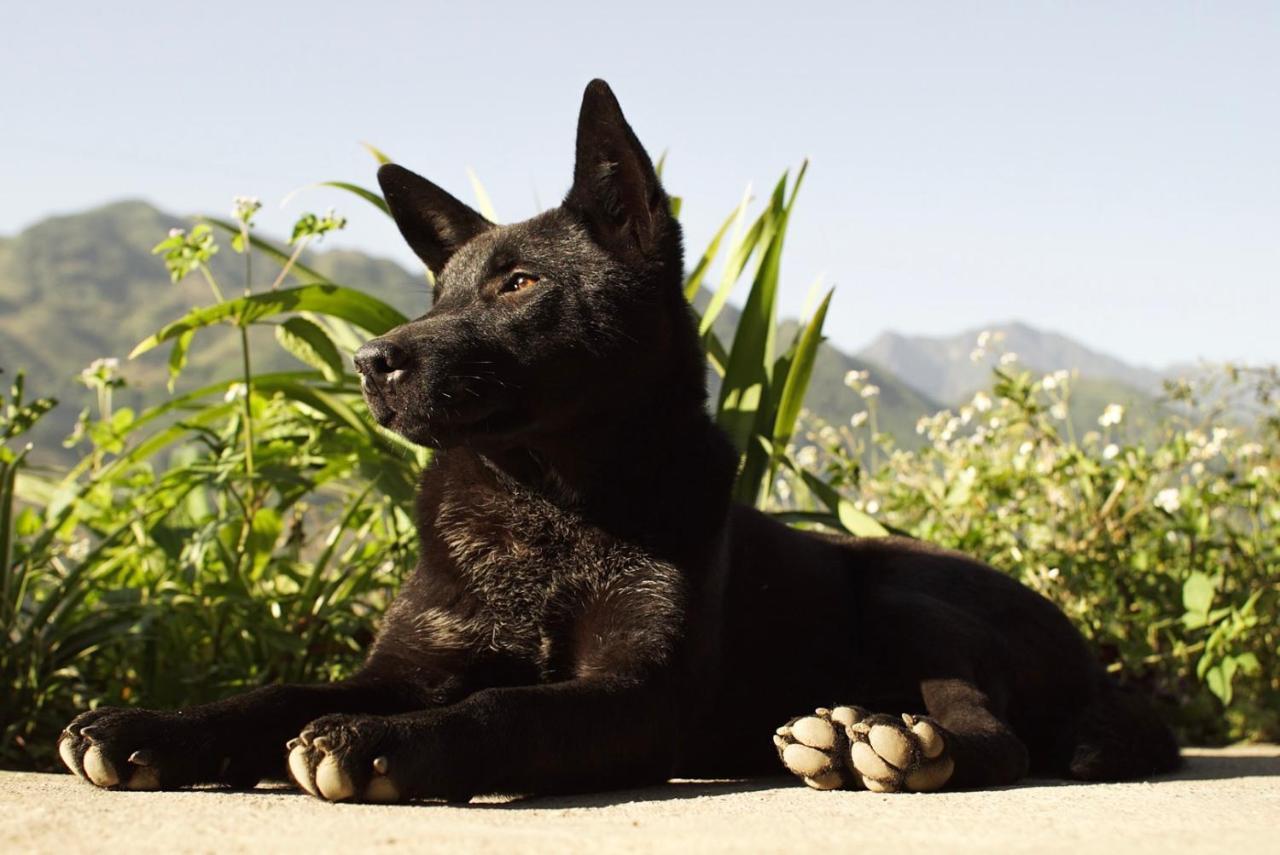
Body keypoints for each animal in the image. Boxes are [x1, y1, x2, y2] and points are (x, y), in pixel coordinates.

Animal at [60, 79, 1177, 803]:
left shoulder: (634, 693)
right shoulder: (416, 658)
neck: (544, 509)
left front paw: (385, 744)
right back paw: (842, 734)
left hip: (906, 592)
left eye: (518, 285)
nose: (370, 361)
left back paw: (891, 744)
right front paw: (153, 728)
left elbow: (507, 709)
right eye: (438, 294)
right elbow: (274, 690)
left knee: (992, 735)